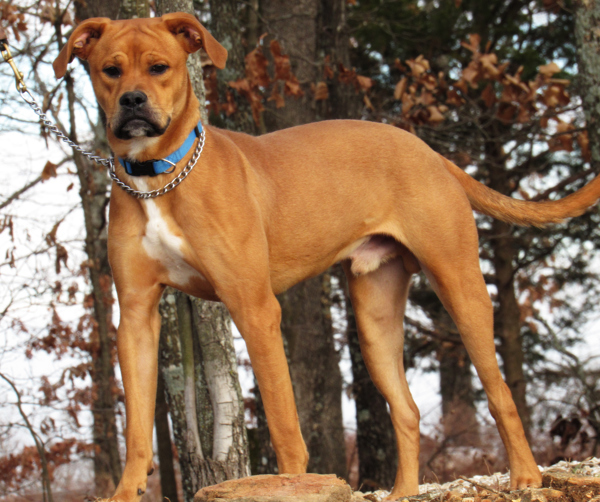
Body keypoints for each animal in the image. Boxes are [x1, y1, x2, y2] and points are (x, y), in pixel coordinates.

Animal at [52, 12, 600, 502]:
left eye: (159, 67)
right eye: (111, 69)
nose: (133, 100)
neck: (158, 176)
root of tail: (431, 154)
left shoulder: (254, 309)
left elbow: (283, 420)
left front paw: (293, 486)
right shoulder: (136, 317)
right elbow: (137, 426)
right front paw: (125, 492)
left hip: (461, 289)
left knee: (500, 391)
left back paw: (526, 477)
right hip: (375, 318)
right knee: (406, 410)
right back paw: (404, 492)